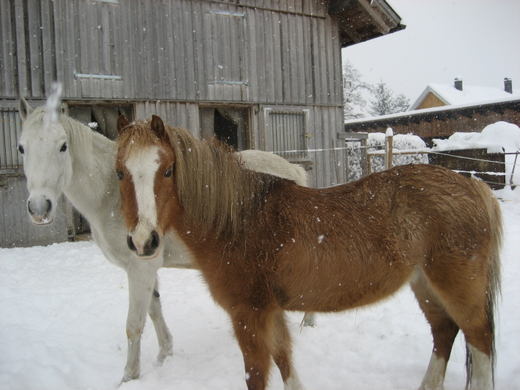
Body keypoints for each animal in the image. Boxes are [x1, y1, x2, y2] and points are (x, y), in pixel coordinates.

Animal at [17, 96, 312, 382]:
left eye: (63, 146)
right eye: (21, 148)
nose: (39, 208)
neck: (111, 195)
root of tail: (293, 170)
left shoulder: (140, 268)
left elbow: (134, 325)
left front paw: (129, 376)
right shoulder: (145, 265)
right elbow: (154, 309)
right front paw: (164, 354)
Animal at [115, 114, 500, 388]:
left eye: (167, 170)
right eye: (119, 173)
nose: (143, 241)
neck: (238, 221)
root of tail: (472, 185)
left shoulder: (249, 316)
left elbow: (256, 375)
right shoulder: (270, 313)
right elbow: (286, 364)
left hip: (459, 289)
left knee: (478, 340)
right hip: (425, 285)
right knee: (444, 333)